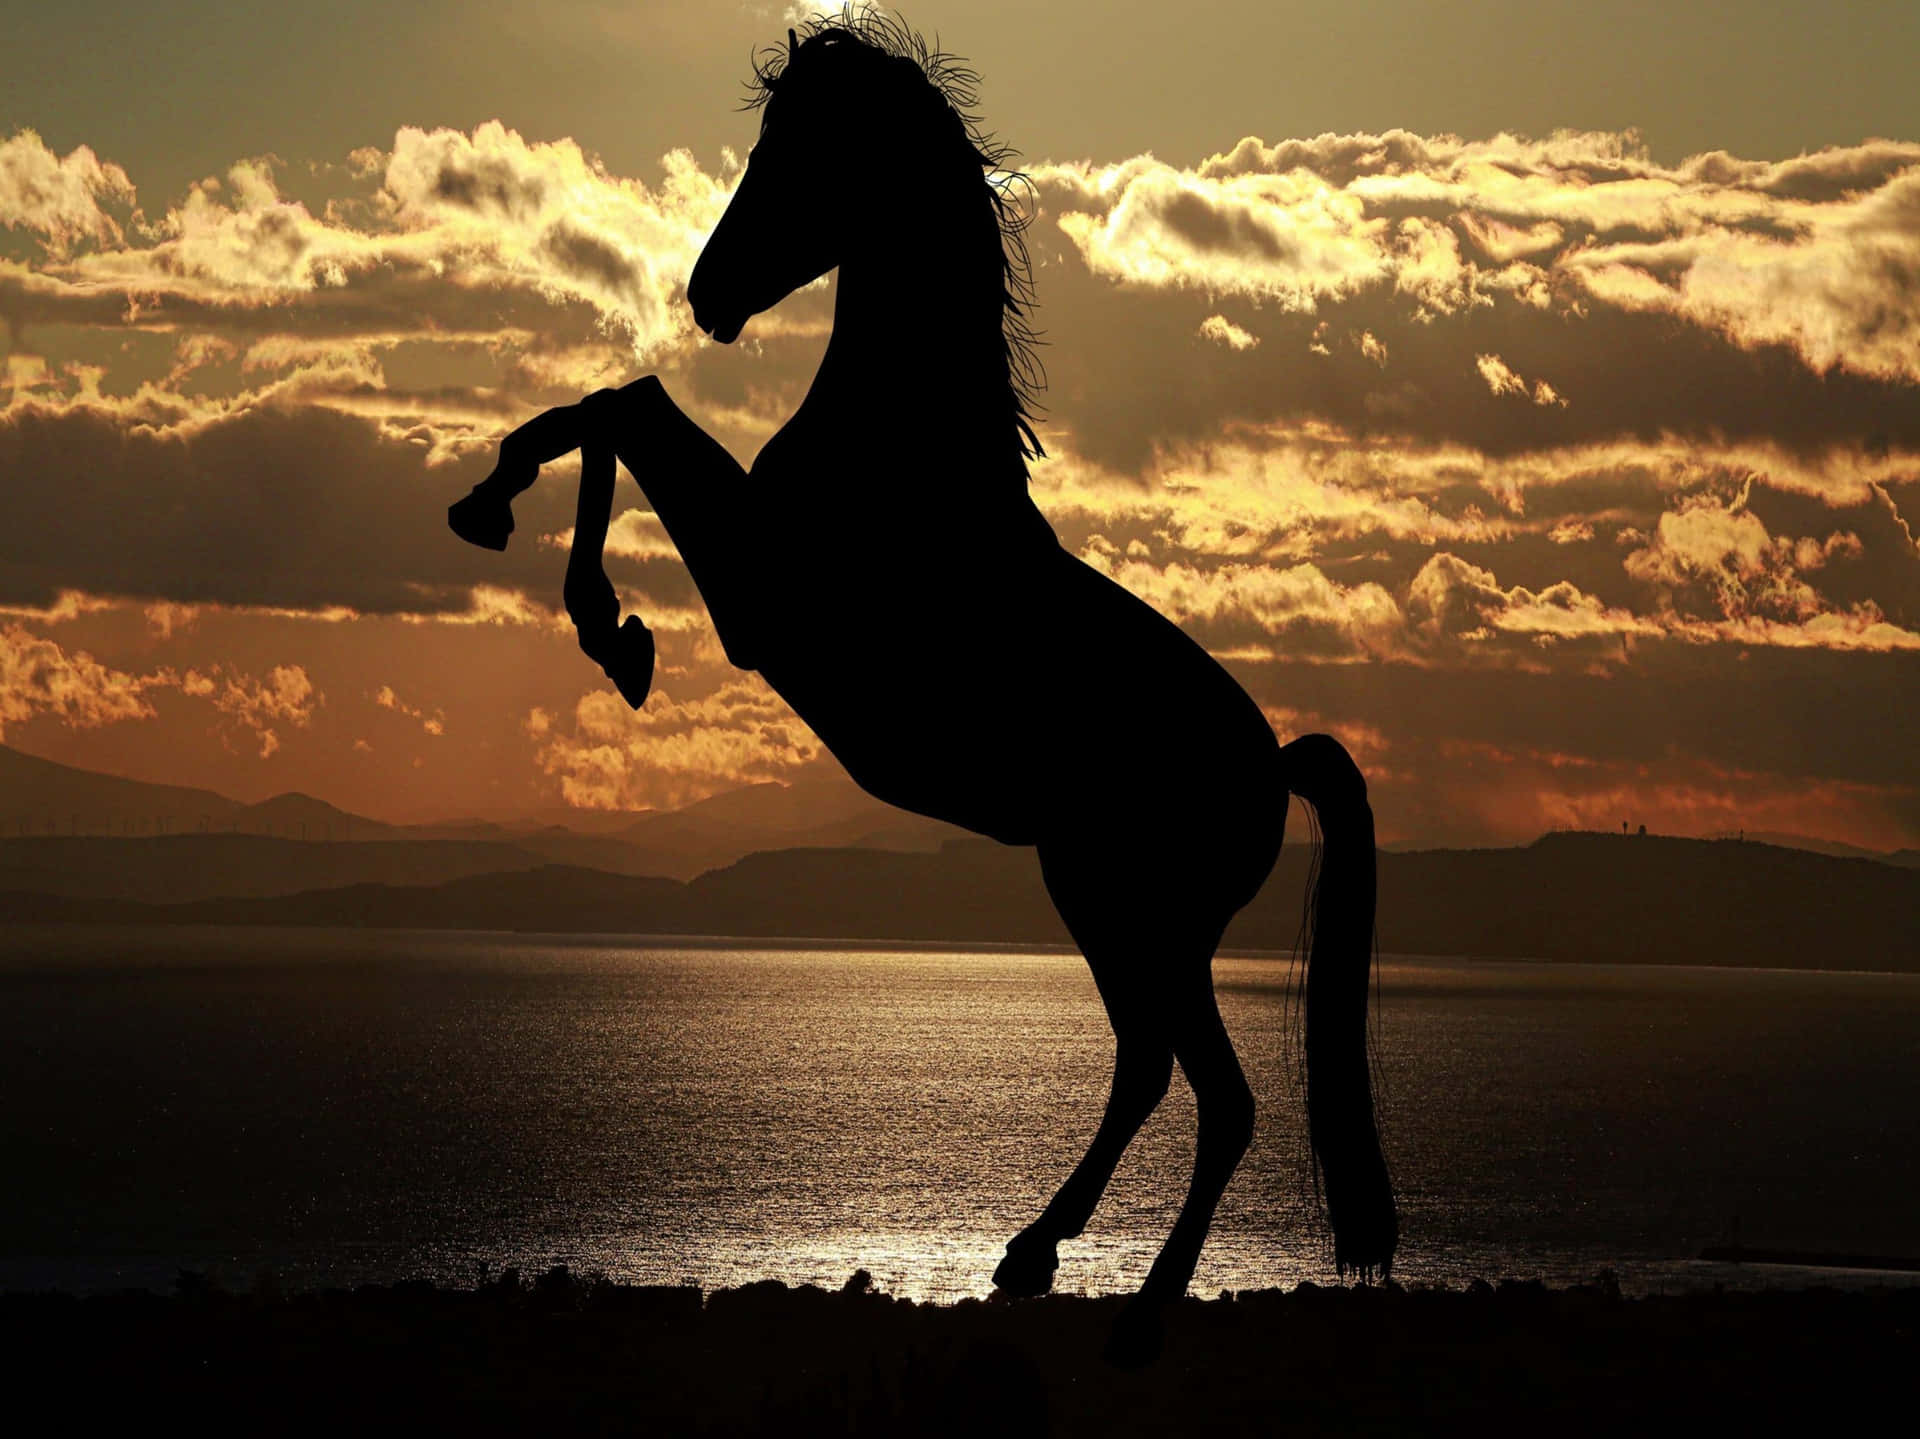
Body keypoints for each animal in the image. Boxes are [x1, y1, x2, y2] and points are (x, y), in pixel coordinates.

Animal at [447, 11, 1394, 1366]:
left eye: (799, 155)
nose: (707, 294)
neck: (900, 447)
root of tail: (1268, 765)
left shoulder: (764, 597)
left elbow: (629, 408)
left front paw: (600, 617)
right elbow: (613, 404)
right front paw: (512, 520)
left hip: (1144, 916)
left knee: (1221, 1098)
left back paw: (1141, 1312)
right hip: (1103, 904)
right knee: (1147, 1065)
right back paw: (1031, 1253)